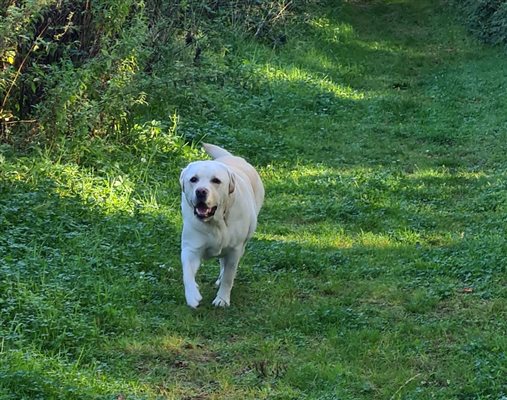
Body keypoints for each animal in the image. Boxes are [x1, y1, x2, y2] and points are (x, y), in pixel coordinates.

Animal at [180, 143, 266, 306]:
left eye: (216, 181)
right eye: (193, 179)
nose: (201, 191)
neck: (216, 222)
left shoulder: (234, 250)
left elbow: (228, 275)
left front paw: (222, 299)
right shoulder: (191, 248)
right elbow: (187, 271)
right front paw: (192, 295)